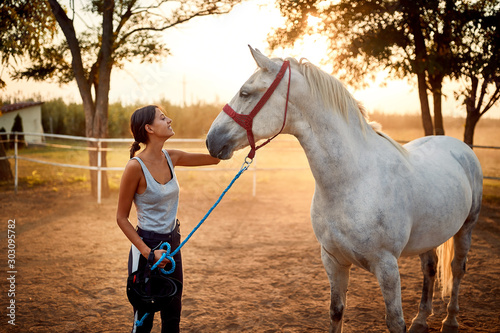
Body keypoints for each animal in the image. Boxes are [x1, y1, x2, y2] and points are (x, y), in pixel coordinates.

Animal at [205, 47, 482, 332]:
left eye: (245, 93)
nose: (211, 140)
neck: (353, 180)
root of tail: (458, 146)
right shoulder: (333, 261)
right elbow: (336, 311)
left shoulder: (387, 267)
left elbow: (395, 321)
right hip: (430, 235)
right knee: (430, 269)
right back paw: (421, 320)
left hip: (466, 227)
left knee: (457, 268)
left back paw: (450, 320)